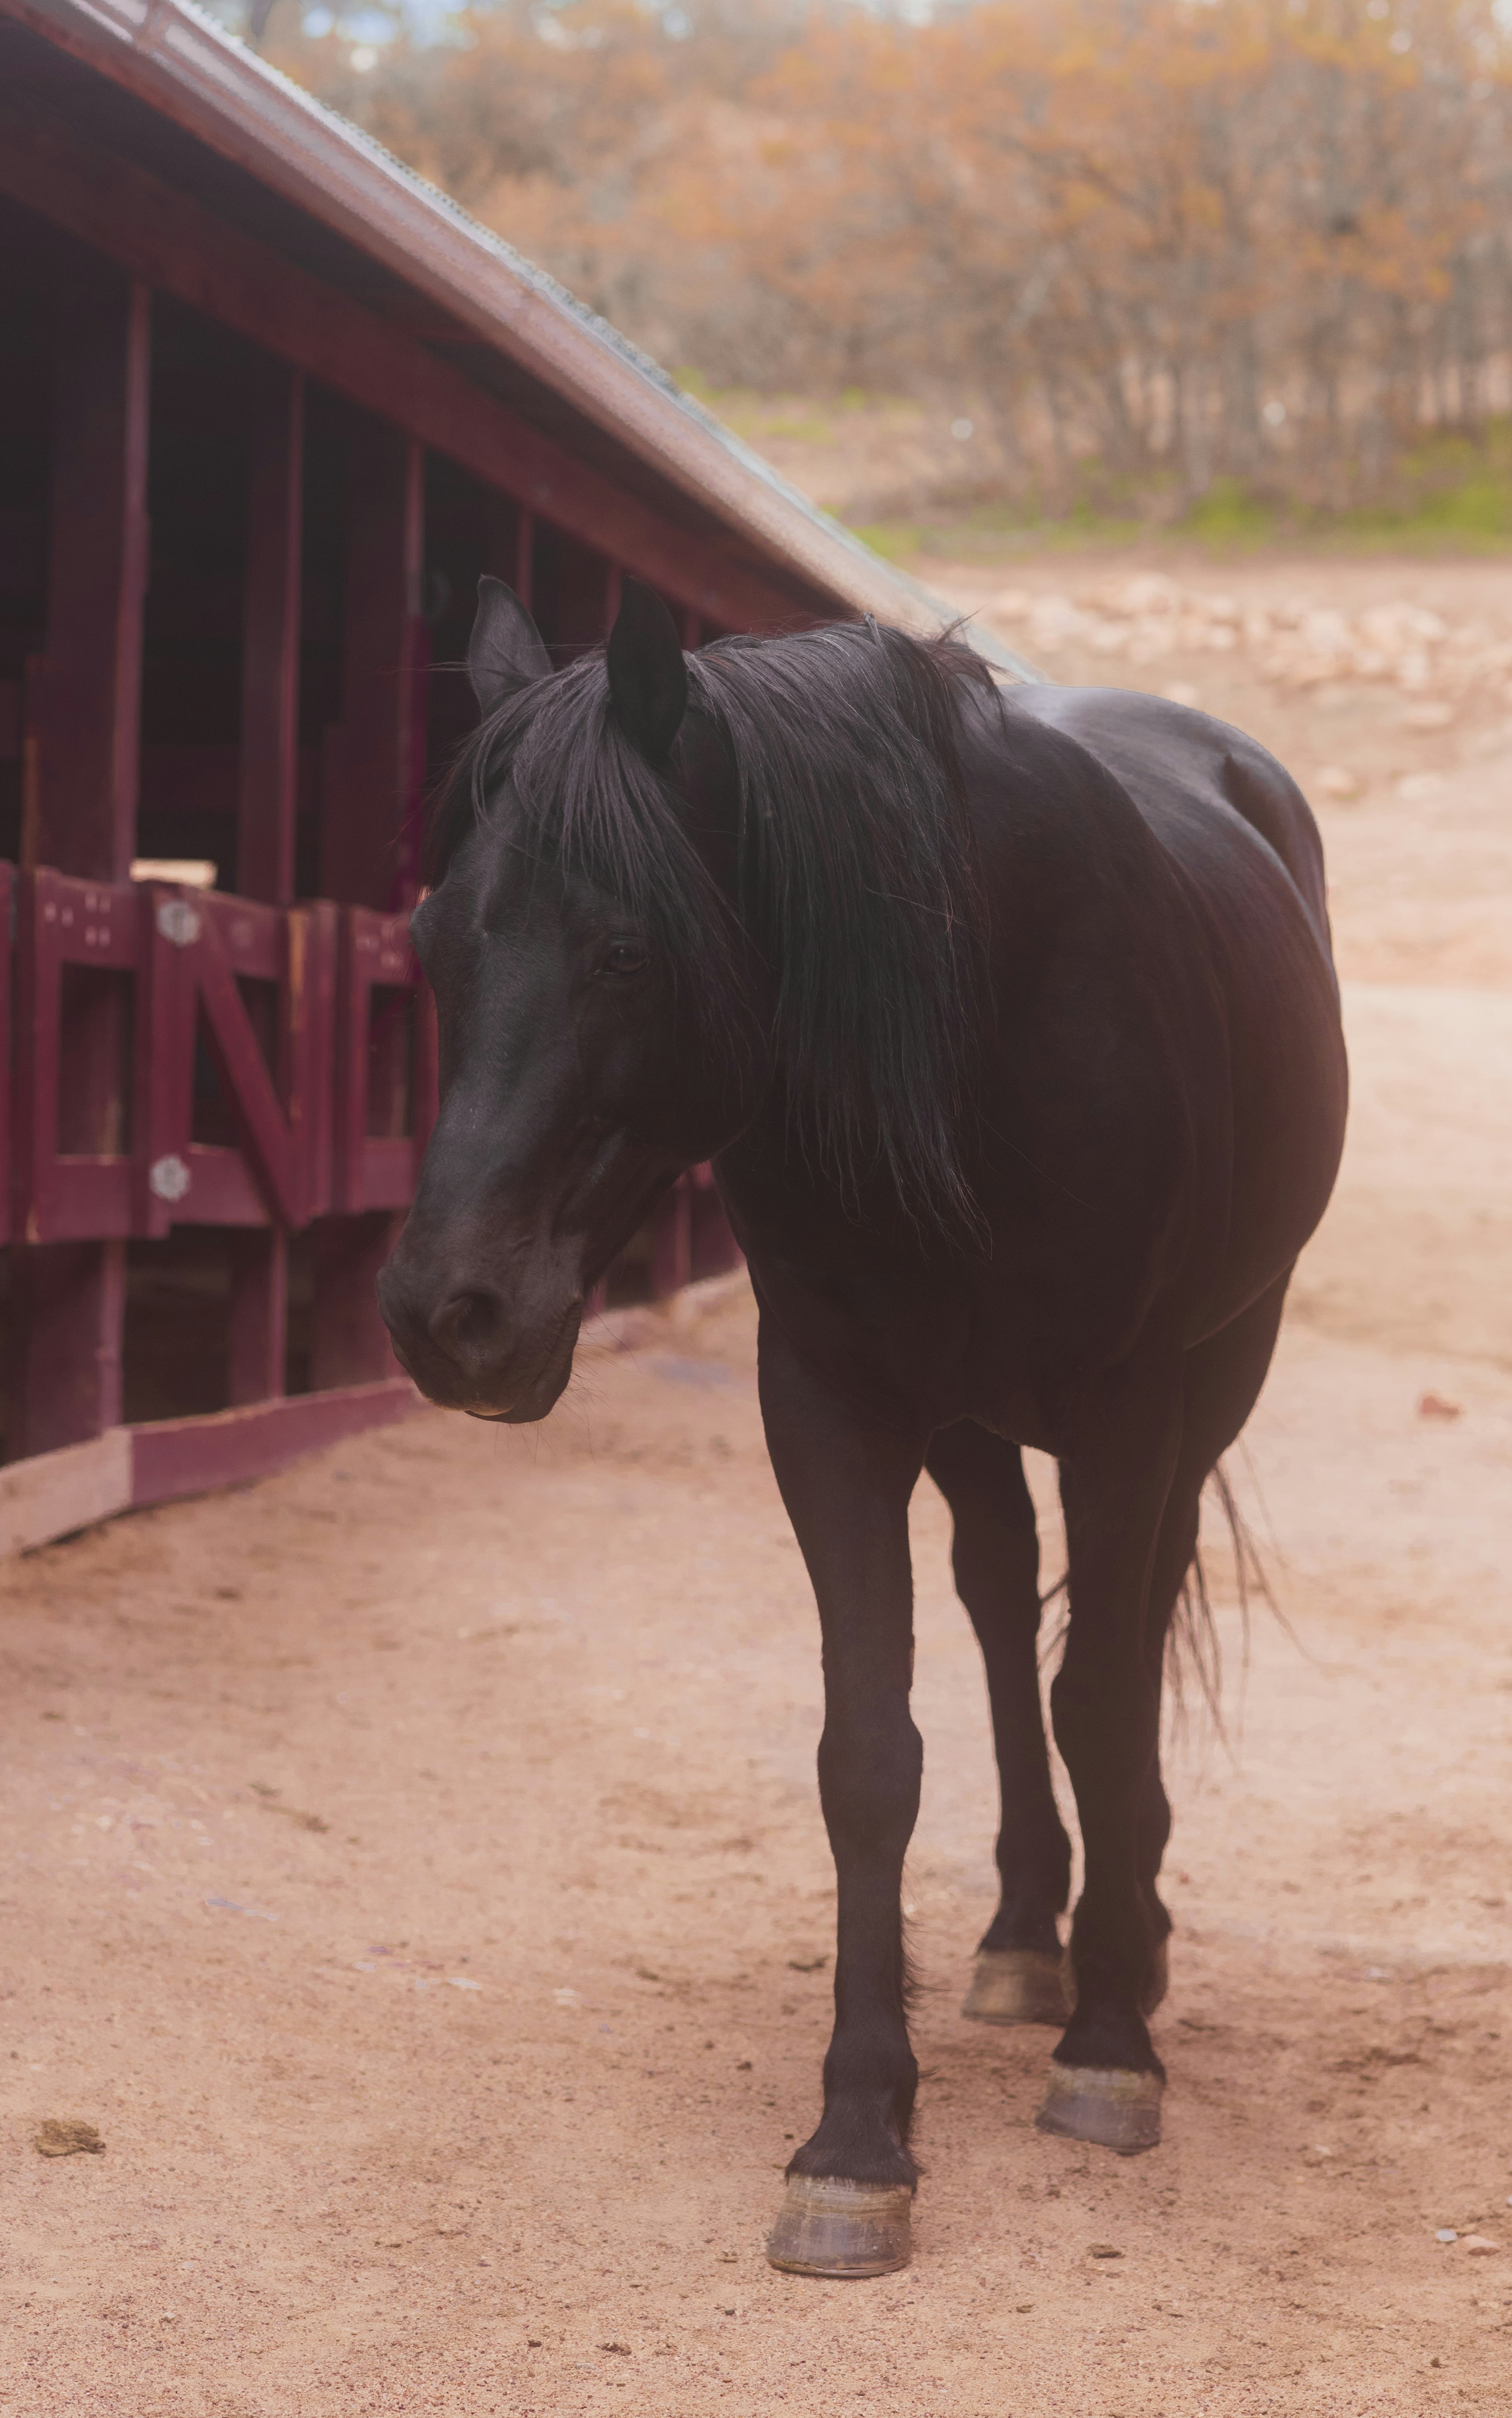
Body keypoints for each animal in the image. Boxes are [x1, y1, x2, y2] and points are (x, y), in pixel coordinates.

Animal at [377, 576, 1348, 2279]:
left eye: (624, 949)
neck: (989, 1018)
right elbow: (868, 1751)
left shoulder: (1123, 1403)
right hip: (969, 1416)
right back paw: (1026, 1932)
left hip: (1212, 1374)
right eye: (434, 943)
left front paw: (1109, 2051)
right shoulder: (831, 1401)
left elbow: (1103, 1699)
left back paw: (1127, 1939)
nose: (451, 1313)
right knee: (999, 1602)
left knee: (1129, 1618)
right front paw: (856, 2135)